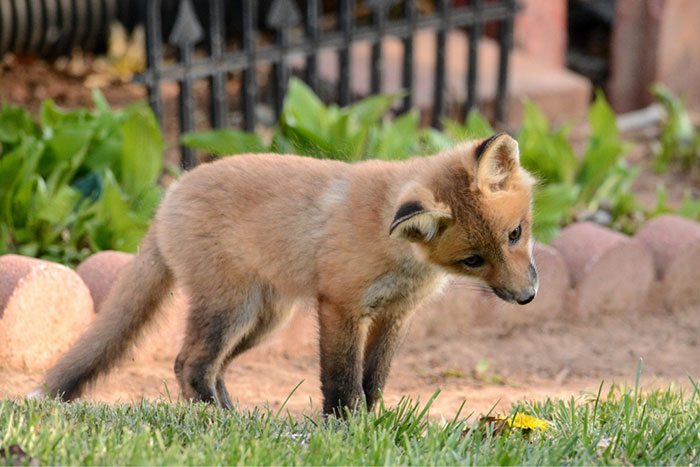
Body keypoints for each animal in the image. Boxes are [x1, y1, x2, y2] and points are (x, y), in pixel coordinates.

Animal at [32, 132, 538, 415]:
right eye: (473, 260)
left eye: (515, 234)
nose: (527, 297)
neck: (404, 256)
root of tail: (168, 197)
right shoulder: (339, 305)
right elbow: (342, 381)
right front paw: (346, 430)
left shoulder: (397, 314)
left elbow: (373, 379)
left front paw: (374, 426)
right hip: (230, 310)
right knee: (188, 364)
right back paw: (219, 423)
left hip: (263, 322)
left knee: (214, 368)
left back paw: (236, 416)